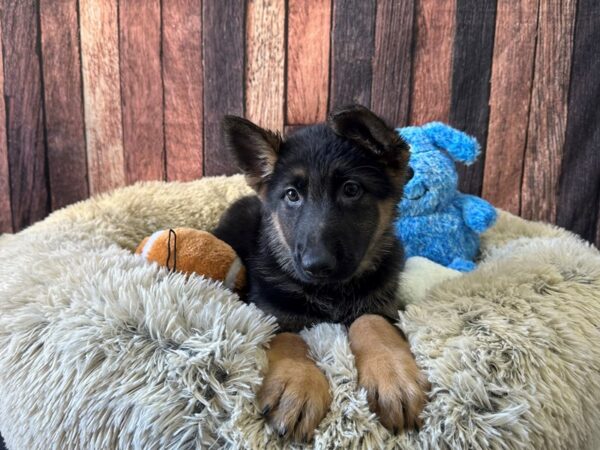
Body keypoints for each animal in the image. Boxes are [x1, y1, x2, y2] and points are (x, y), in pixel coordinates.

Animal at [213, 104, 428, 440]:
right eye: (291, 195)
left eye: (351, 190)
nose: (316, 265)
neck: (330, 293)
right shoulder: (267, 312)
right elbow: (289, 338)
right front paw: (296, 384)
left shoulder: (385, 306)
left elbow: (370, 321)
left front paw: (393, 374)